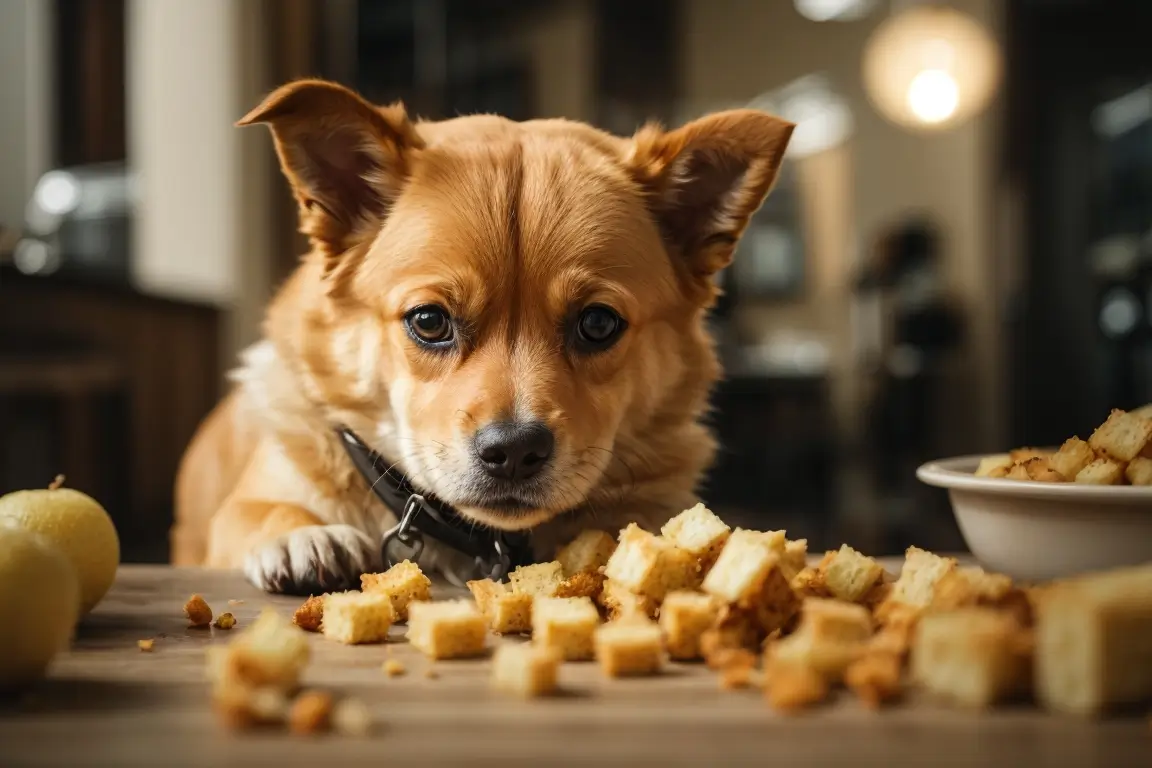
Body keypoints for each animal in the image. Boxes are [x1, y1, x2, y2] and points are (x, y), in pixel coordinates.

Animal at [170, 78, 797, 594]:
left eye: (598, 324)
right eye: (428, 321)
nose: (514, 451)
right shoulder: (243, 509)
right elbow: (260, 511)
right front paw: (303, 535)